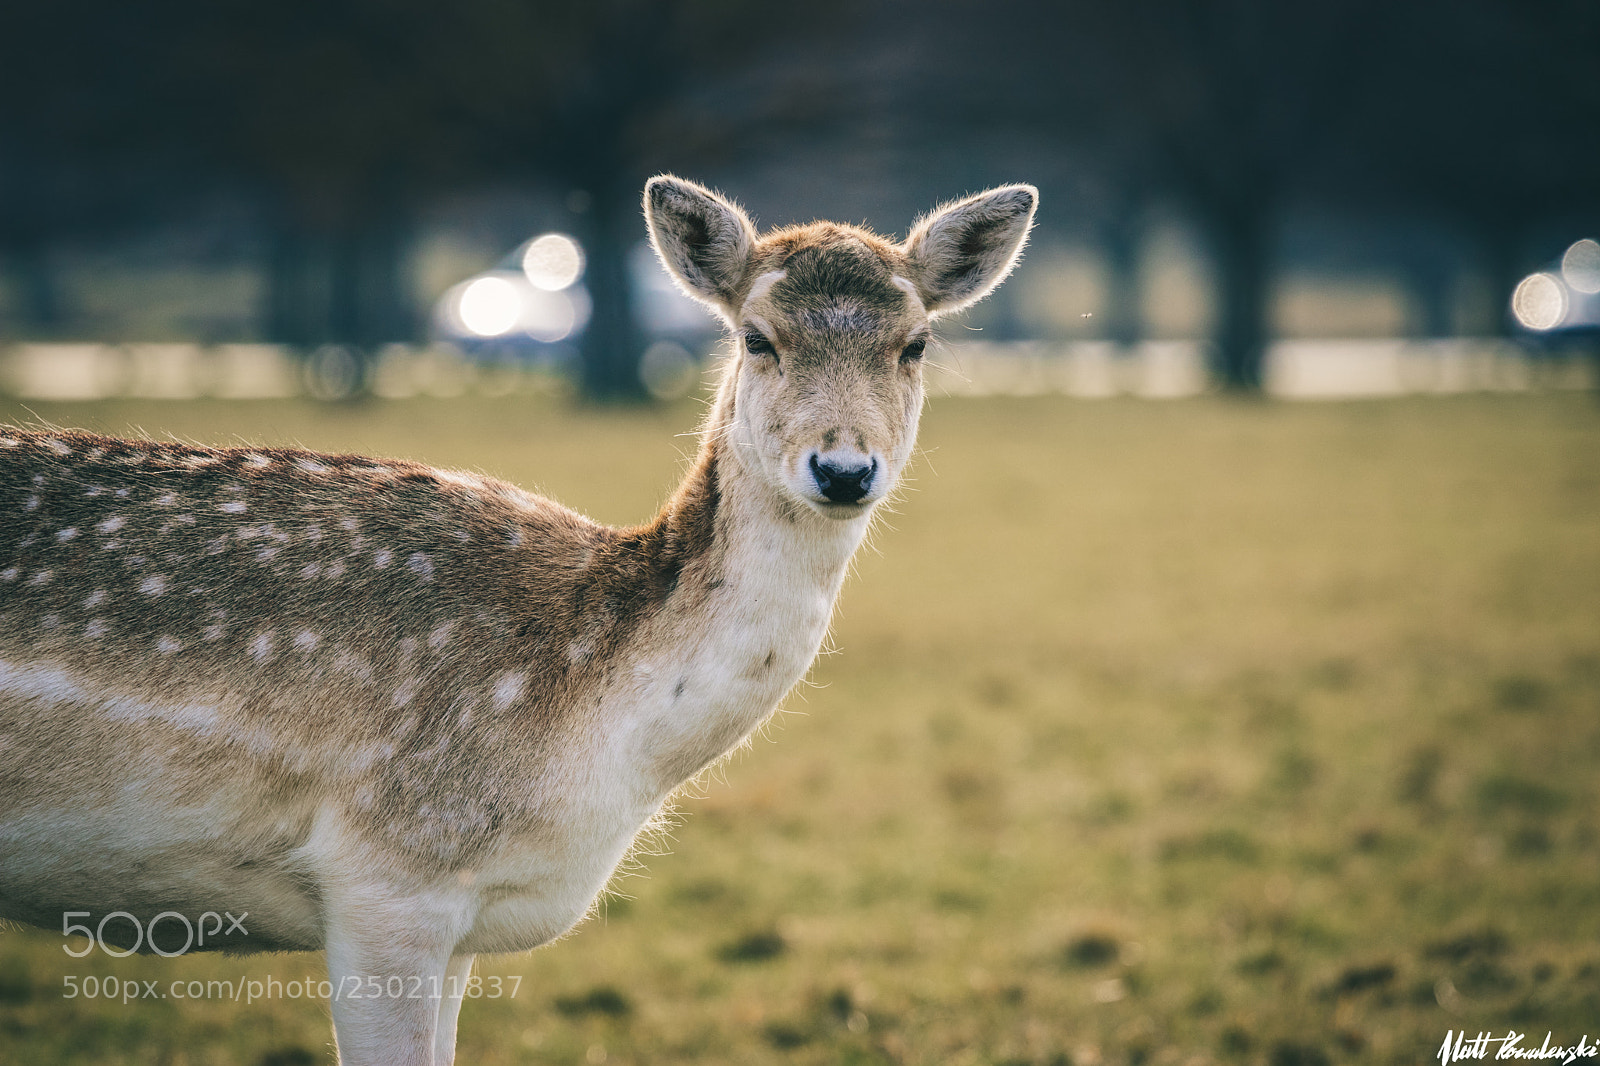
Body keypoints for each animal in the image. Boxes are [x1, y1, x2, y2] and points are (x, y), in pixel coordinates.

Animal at [0, 175, 1036, 1065]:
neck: (592, 735)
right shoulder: (388, 877)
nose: (843, 469)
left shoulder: (463, 923)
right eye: (756, 337)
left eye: (915, 345)